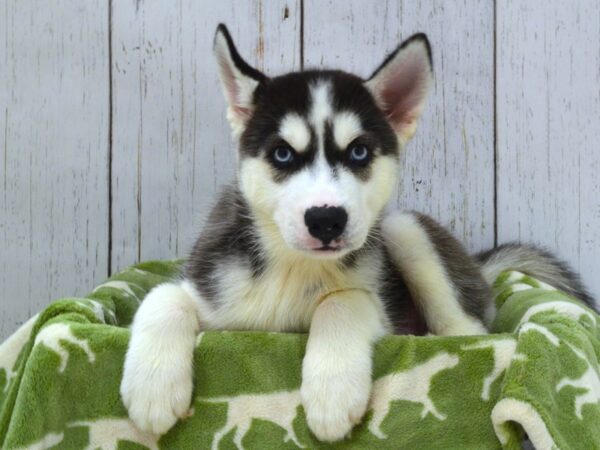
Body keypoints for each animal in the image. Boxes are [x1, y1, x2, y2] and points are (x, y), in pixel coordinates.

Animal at [120, 22, 592, 442]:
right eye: (282, 154)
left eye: (359, 151)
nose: (326, 219)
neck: (293, 266)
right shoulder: (210, 286)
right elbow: (162, 296)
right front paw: (152, 388)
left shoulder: (380, 307)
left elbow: (342, 300)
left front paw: (331, 393)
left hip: (404, 231)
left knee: (471, 331)